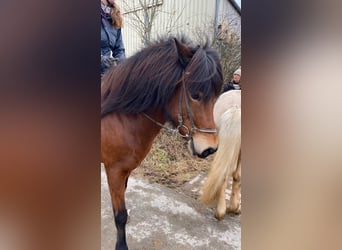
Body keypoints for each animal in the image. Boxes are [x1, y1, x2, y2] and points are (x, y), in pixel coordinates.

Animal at [100, 35, 223, 250]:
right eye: (195, 94)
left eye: (216, 95)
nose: (210, 149)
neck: (119, 116)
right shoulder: (114, 170)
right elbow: (120, 216)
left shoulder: (124, 171)